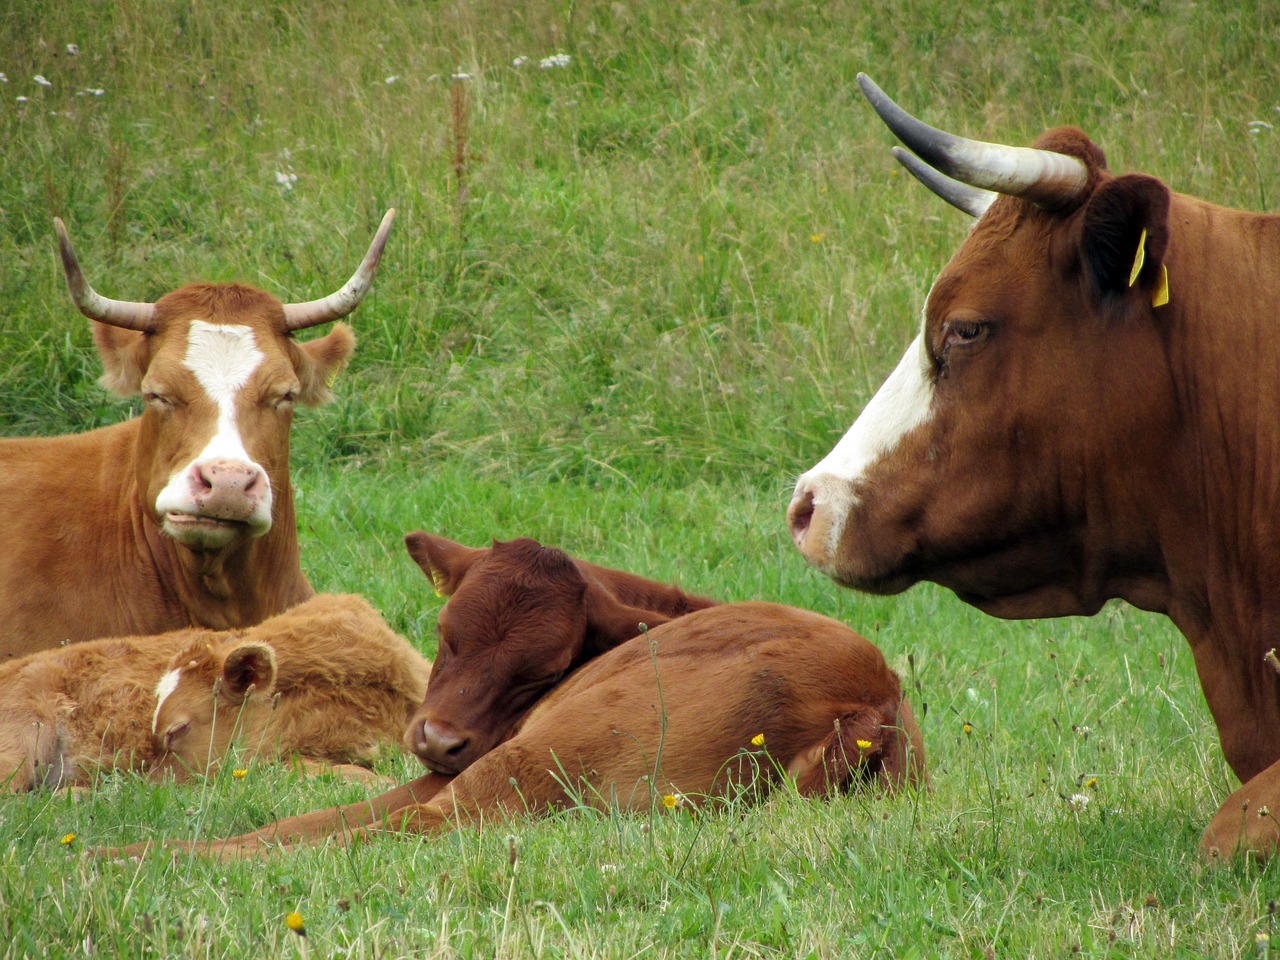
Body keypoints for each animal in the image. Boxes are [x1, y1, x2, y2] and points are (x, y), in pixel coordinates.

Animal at [98, 536, 923, 859]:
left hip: (542, 755)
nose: (436, 738)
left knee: (404, 830)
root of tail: (872, 693)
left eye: (540, 670)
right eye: (446, 633)